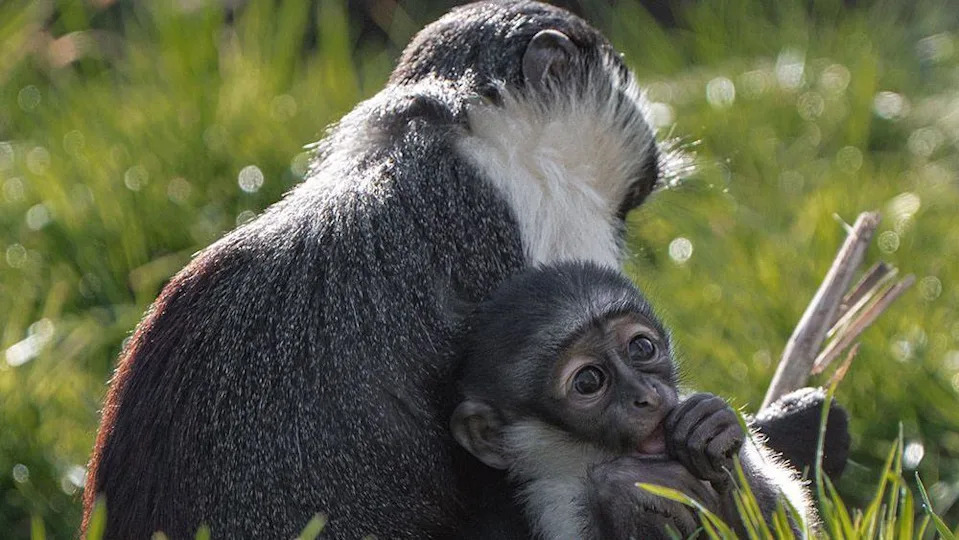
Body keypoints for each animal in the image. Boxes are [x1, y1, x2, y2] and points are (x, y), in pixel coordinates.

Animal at [451, 261, 816, 539]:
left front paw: (711, 427)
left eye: (641, 347)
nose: (648, 396)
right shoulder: (554, 503)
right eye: (588, 381)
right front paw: (622, 489)